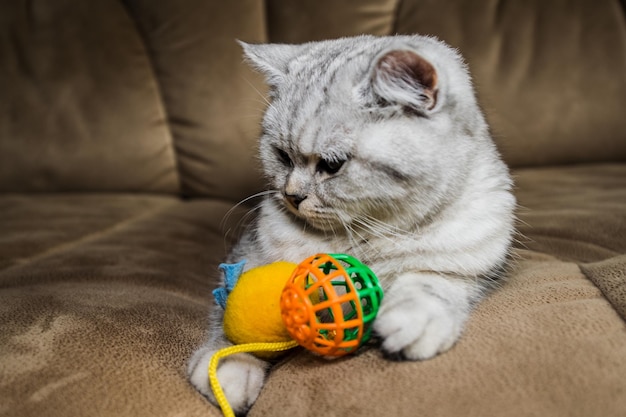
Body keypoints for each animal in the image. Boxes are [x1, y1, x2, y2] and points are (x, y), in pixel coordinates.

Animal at [188, 35, 516, 412]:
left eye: (332, 165)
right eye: (282, 157)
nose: (292, 195)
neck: (363, 234)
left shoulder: (469, 264)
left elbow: (431, 283)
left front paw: (413, 319)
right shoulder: (248, 252)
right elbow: (230, 312)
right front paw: (228, 364)